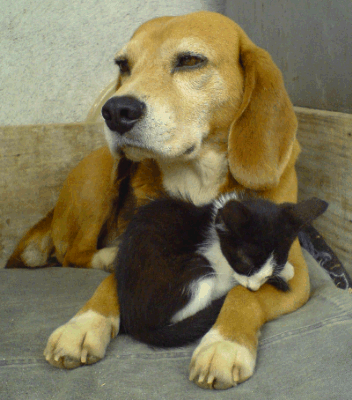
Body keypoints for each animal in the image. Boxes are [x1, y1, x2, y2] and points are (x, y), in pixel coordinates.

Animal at [115, 194, 328, 346]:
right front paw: (282, 276)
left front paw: (283, 271)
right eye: (245, 262)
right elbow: (233, 281)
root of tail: (134, 324)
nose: (253, 289)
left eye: (274, 266)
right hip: (194, 266)